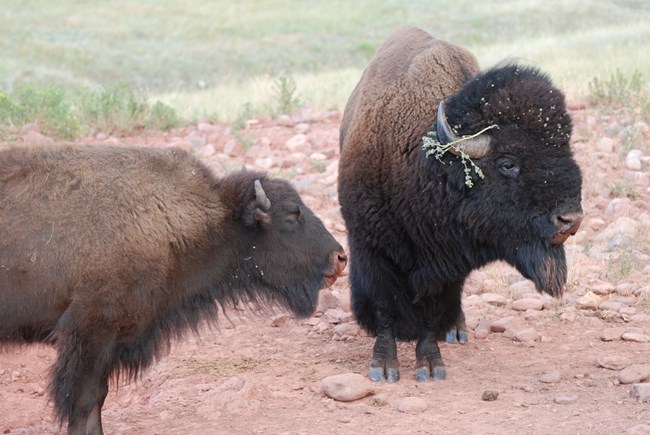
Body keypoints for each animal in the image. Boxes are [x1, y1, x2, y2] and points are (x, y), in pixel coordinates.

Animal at [0, 145, 346, 434]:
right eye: (291, 215)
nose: (340, 257)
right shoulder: (91, 333)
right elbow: (83, 401)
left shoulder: (109, 343)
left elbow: (98, 397)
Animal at [340, 25, 584, 384]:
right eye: (508, 163)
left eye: (566, 149)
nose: (570, 219)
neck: (428, 164)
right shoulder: (373, 251)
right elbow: (384, 308)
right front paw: (383, 367)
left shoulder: (447, 266)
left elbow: (431, 312)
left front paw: (430, 366)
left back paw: (456, 330)